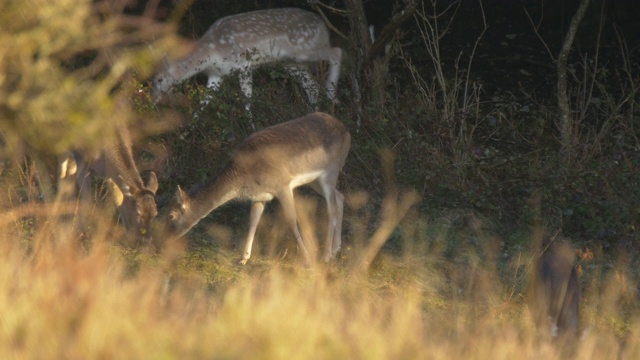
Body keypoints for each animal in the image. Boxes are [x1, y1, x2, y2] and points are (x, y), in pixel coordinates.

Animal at [152, 7, 342, 115]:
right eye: (152, 80)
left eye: (160, 79)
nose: (154, 100)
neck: (212, 51)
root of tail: (324, 25)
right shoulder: (217, 75)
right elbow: (203, 102)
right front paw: (185, 133)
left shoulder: (243, 63)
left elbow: (247, 101)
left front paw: (250, 129)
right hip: (290, 62)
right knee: (312, 84)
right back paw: (314, 114)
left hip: (305, 48)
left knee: (337, 52)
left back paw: (332, 96)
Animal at [162, 112, 348, 264]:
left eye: (171, 215)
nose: (164, 241)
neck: (245, 177)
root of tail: (347, 131)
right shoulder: (260, 196)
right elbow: (253, 221)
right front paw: (243, 258)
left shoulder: (282, 185)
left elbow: (291, 220)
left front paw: (308, 260)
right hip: (315, 180)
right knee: (340, 197)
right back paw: (336, 249)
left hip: (330, 171)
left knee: (331, 208)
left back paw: (326, 256)